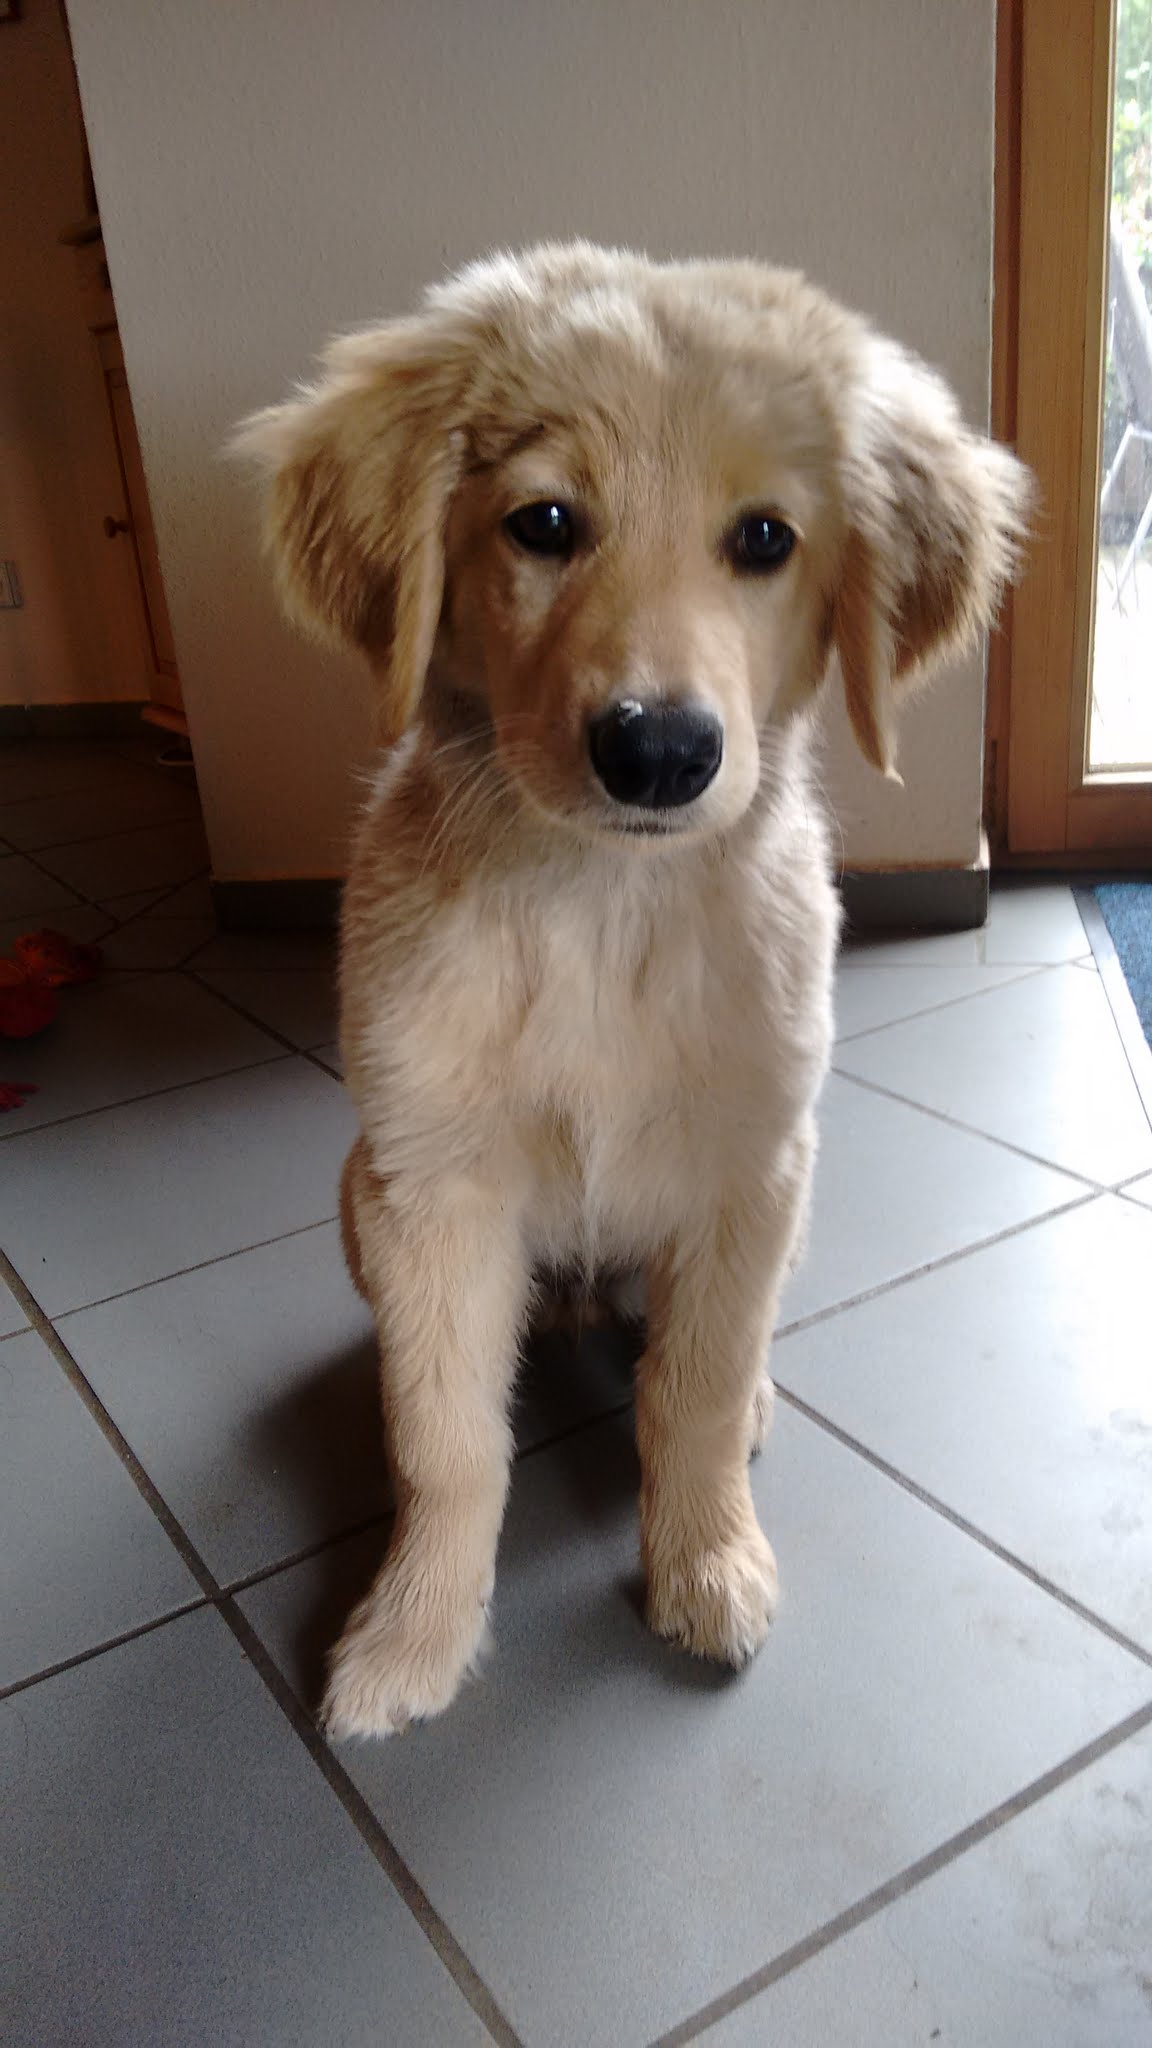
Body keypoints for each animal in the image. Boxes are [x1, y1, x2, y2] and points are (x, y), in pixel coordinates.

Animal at [239, 242, 1029, 1740]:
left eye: (766, 539)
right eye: (544, 523)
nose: (658, 750)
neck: (603, 909)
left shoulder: (747, 1171)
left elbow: (696, 1391)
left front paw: (707, 1560)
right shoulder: (431, 1188)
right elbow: (446, 1438)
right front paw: (413, 1633)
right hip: (356, 1199)